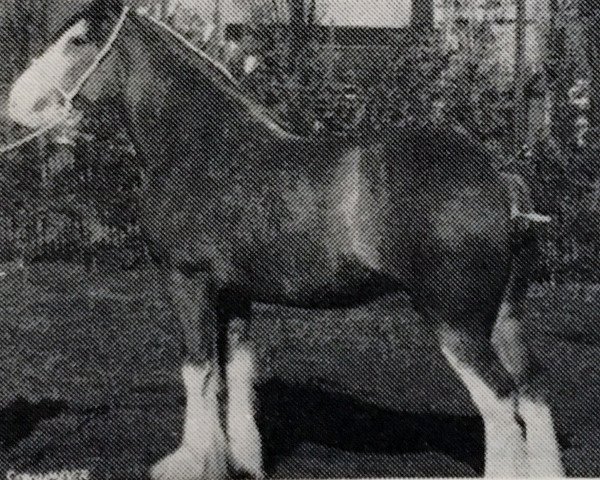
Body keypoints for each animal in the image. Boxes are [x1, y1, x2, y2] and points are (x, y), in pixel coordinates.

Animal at [7, 1, 564, 478]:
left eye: (78, 40)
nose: (15, 105)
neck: (204, 146)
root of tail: (497, 177)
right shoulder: (233, 293)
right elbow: (234, 372)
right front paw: (242, 461)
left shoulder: (187, 280)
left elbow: (198, 368)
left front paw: (189, 463)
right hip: (504, 317)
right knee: (533, 392)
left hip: (456, 321)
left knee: (500, 402)